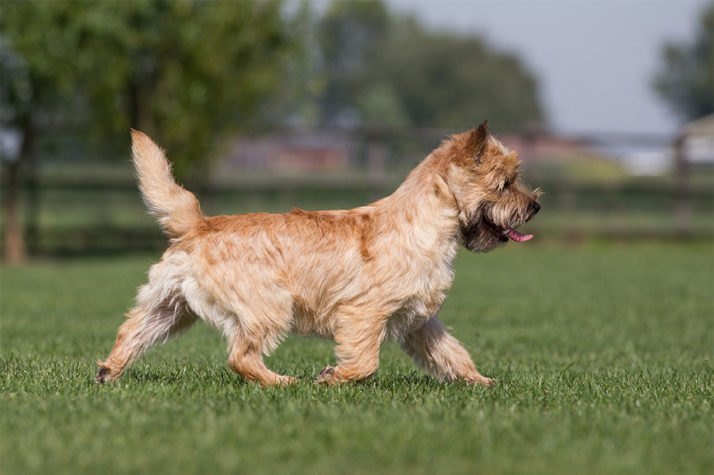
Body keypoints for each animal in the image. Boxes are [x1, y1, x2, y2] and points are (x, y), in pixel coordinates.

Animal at [96, 122, 540, 386]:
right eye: (505, 184)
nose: (535, 205)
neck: (427, 223)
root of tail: (198, 224)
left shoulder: (420, 320)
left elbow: (453, 353)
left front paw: (482, 383)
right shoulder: (364, 313)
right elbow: (366, 361)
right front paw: (332, 377)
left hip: (170, 307)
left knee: (131, 331)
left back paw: (107, 371)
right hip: (269, 306)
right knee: (240, 356)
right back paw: (283, 382)